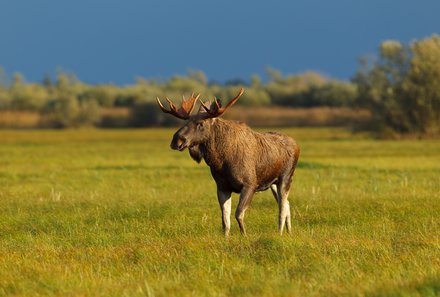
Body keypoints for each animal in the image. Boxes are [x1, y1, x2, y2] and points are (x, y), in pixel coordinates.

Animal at [156, 86, 300, 235]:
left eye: (200, 123)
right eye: (185, 122)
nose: (176, 141)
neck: (221, 161)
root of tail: (296, 144)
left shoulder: (250, 184)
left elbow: (238, 214)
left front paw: (244, 235)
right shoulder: (222, 187)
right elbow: (225, 220)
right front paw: (227, 238)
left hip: (286, 177)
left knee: (282, 208)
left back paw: (280, 233)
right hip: (272, 183)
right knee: (287, 204)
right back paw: (289, 232)